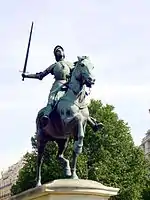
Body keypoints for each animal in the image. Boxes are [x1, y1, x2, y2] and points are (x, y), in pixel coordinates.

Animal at [35, 55, 95, 186]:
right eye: (82, 65)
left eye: (93, 66)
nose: (92, 80)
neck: (77, 99)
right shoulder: (67, 123)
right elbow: (77, 118)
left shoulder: (81, 127)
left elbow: (78, 146)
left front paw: (74, 175)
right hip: (41, 141)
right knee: (39, 161)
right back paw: (38, 183)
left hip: (62, 140)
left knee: (59, 156)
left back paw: (67, 170)